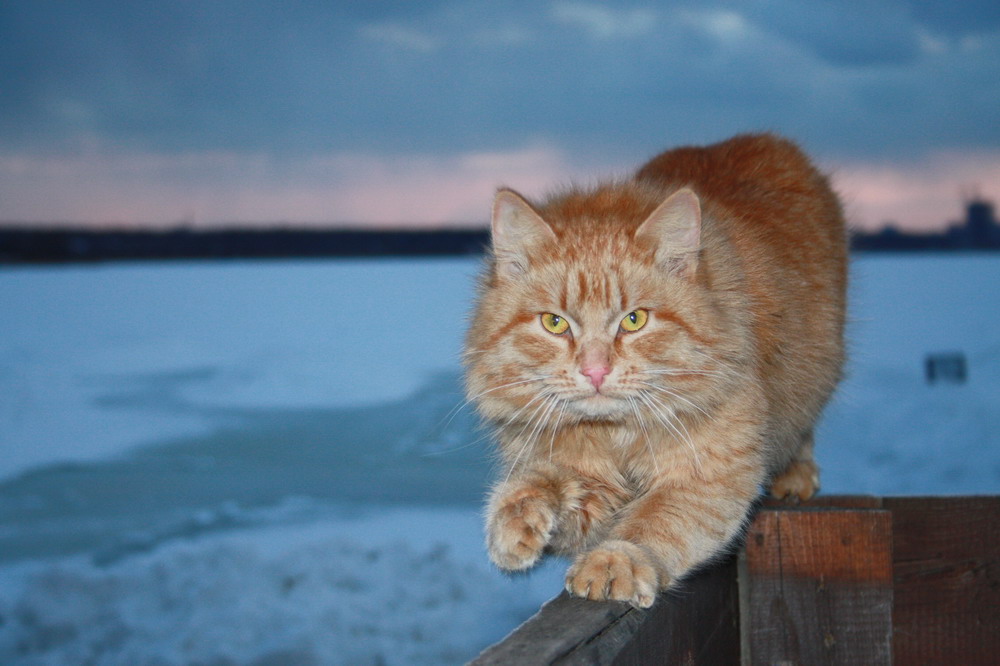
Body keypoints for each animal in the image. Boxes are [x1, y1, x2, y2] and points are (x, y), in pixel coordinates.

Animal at [460, 134, 844, 608]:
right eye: (554, 323)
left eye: (634, 320)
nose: (595, 371)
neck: (616, 436)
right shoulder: (590, 484)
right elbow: (545, 481)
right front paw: (517, 518)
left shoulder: (708, 476)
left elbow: (654, 522)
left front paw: (614, 562)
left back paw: (795, 475)